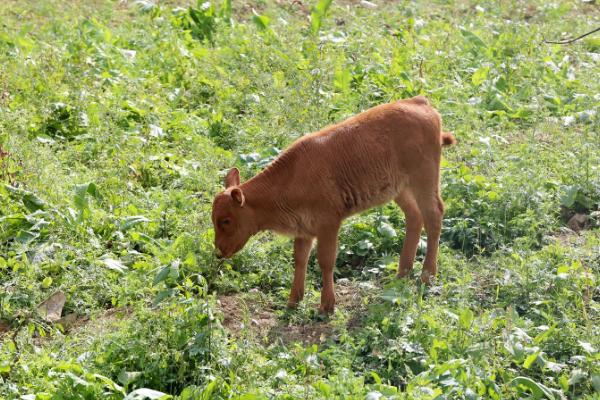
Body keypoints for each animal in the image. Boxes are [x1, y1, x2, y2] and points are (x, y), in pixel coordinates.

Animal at [211, 95, 454, 314]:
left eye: (226, 220)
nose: (219, 252)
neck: (292, 177)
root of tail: (420, 103)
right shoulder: (304, 229)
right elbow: (300, 260)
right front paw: (293, 302)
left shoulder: (328, 224)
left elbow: (325, 261)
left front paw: (326, 306)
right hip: (401, 190)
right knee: (414, 217)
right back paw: (402, 273)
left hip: (424, 181)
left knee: (434, 216)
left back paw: (427, 276)